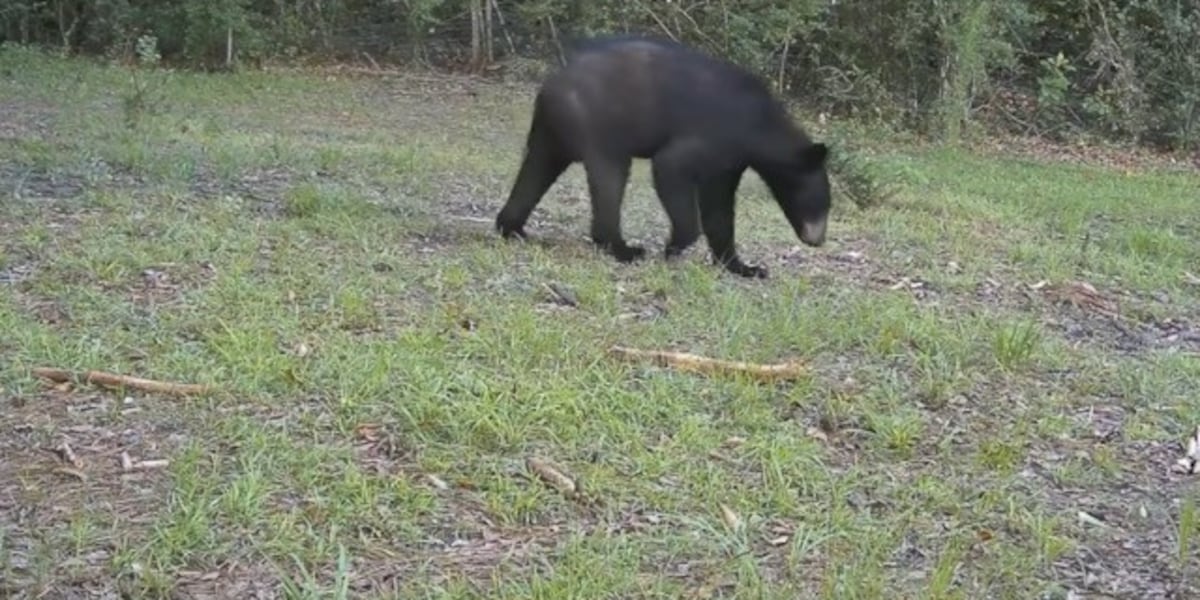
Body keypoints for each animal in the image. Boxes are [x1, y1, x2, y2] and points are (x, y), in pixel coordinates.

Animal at [494, 35, 832, 279]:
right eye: (823, 204)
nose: (818, 240)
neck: (760, 129)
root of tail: (550, 85)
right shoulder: (715, 133)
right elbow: (672, 166)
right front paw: (673, 247)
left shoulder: (729, 162)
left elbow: (719, 210)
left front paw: (745, 267)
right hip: (597, 125)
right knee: (609, 177)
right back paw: (624, 249)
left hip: (552, 133)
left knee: (536, 170)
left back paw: (512, 228)